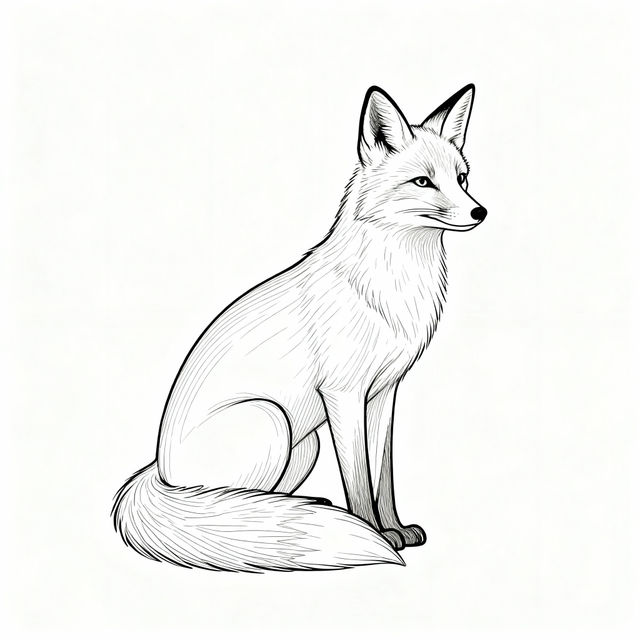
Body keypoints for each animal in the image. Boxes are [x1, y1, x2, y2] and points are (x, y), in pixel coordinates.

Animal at [112, 84, 487, 572]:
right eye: (423, 182)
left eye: (461, 178)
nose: (480, 211)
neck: (390, 289)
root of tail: (158, 470)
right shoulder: (343, 394)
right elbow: (359, 480)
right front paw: (375, 533)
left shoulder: (384, 393)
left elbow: (383, 474)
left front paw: (396, 528)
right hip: (271, 421)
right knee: (226, 509)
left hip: (303, 446)